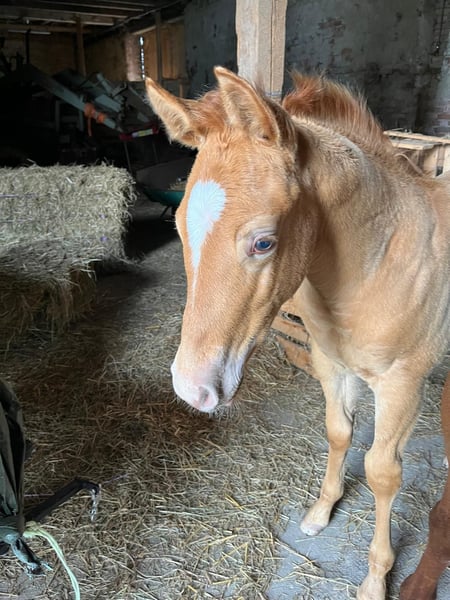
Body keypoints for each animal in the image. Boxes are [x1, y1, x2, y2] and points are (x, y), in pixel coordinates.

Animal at [145, 67, 450, 600]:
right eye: (180, 228)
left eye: (263, 242)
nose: (191, 389)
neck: (377, 265)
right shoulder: (332, 363)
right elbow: (338, 432)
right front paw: (319, 513)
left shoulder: (403, 386)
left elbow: (383, 472)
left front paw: (376, 577)